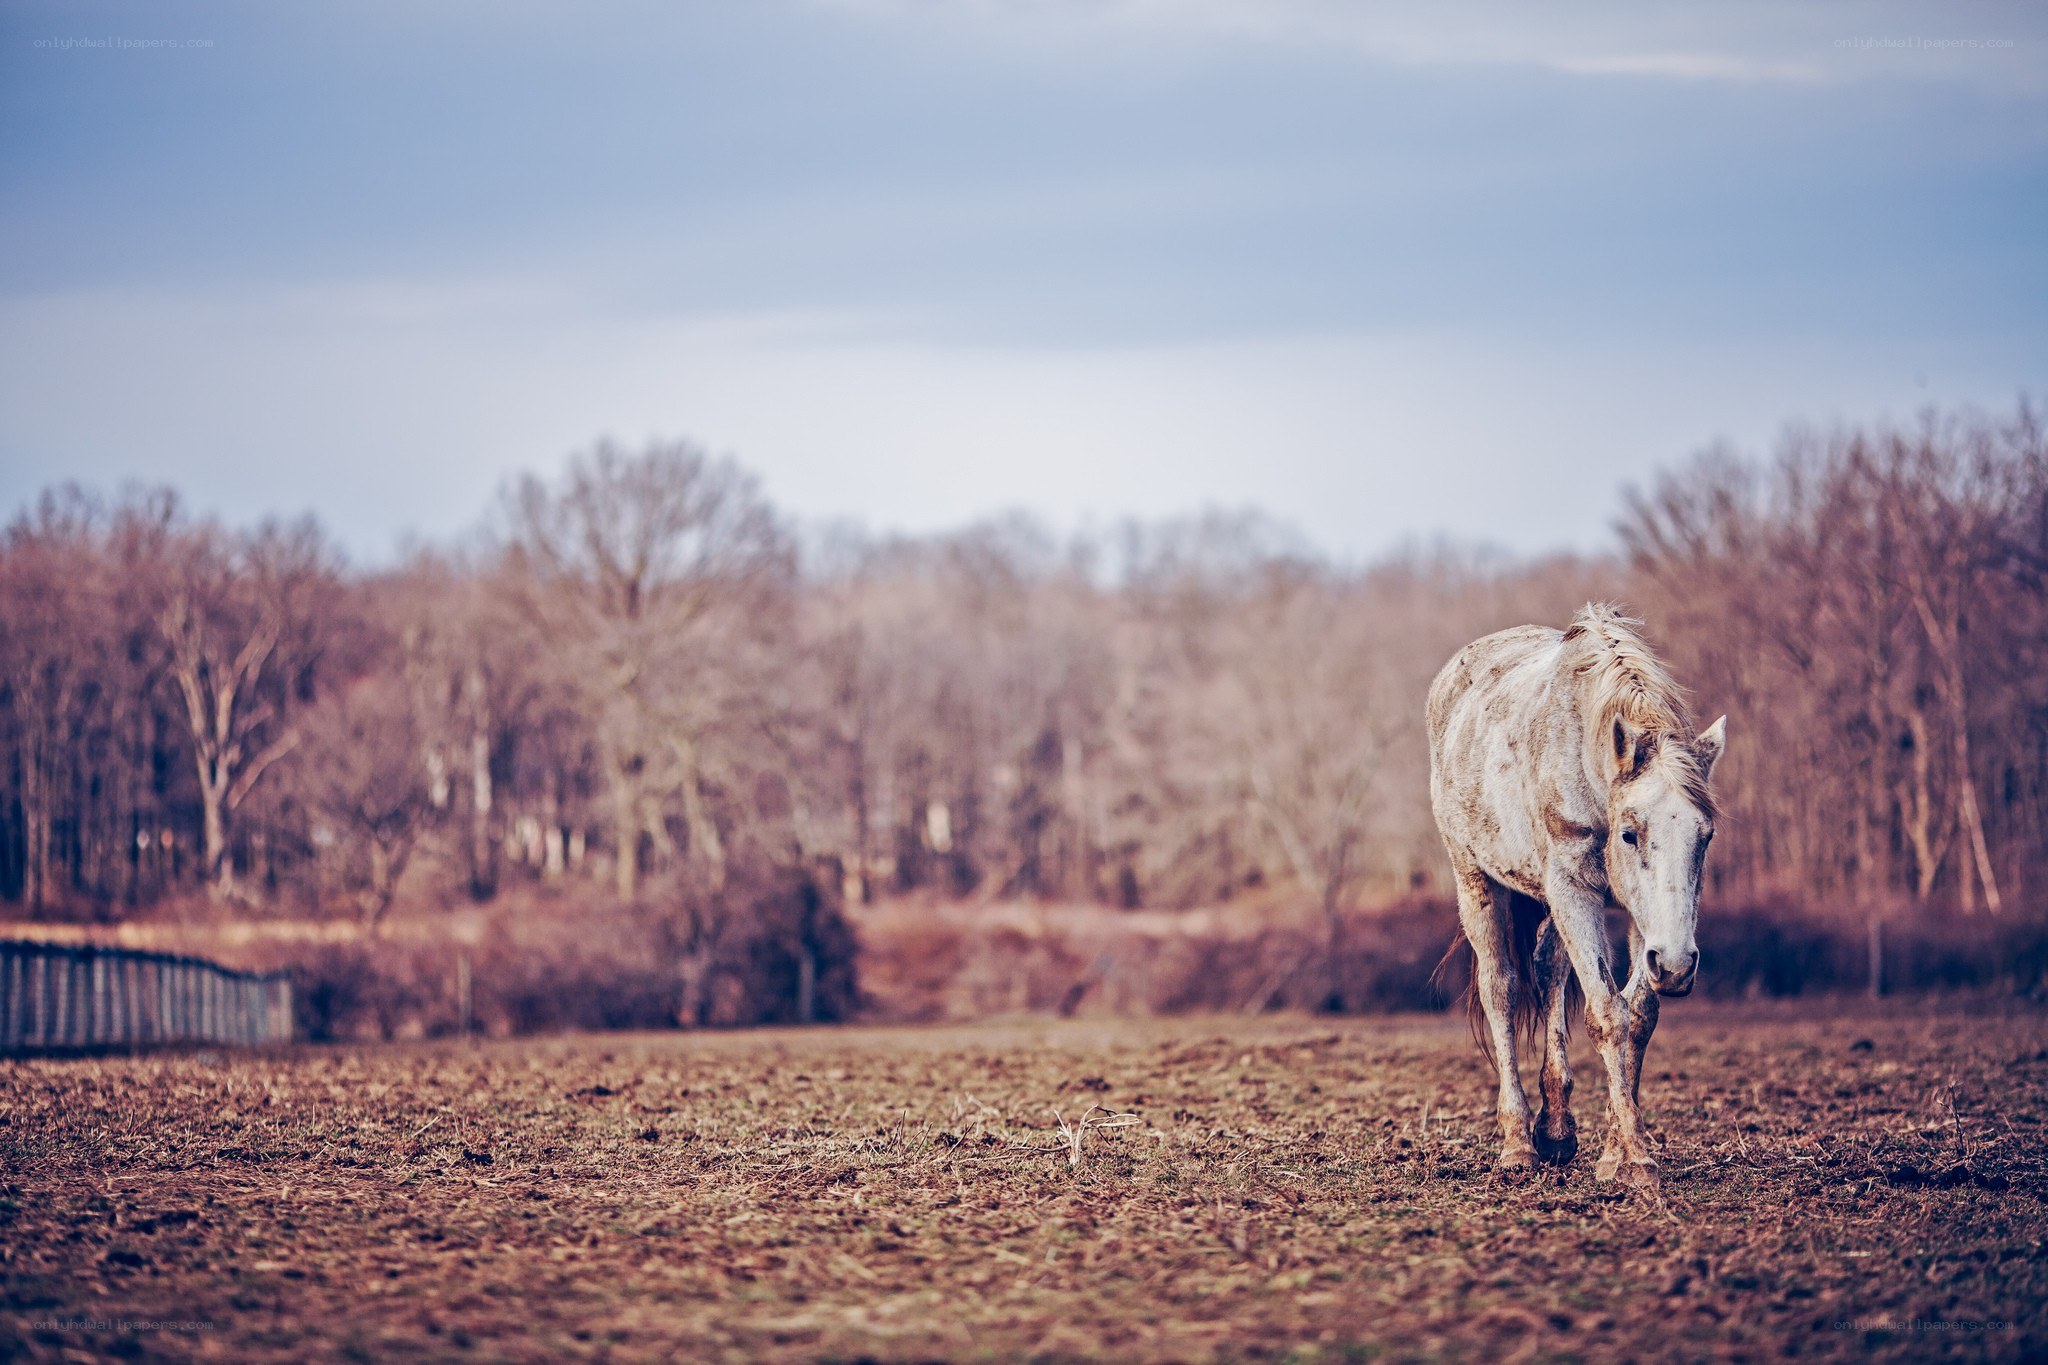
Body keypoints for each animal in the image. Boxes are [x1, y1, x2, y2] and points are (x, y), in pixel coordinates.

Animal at [1426, 603, 1725, 1190]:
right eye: (1630, 833)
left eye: (1705, 836)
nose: (1679, 966)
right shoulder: (1573, 891)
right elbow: (1607, 1015)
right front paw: (1635, 1157)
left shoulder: (1642, 921)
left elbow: (1639, 1015)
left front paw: (1615, 1149)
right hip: (1476, 881)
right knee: (1501, 988)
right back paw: (1519, 1143)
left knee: (1548, 970)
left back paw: (1557, 1129)